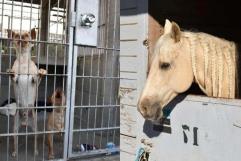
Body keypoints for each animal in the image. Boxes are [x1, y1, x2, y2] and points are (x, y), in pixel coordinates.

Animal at [6, 28, 47, 157]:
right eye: (16, 36)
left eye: (27, 35)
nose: (21, 37)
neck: (24, 60)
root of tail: (24, 123)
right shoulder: (15, 80)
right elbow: (14, 77)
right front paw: (11, 72)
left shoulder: (34, 81)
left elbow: (36, 77)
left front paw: (42, 71)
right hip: (14, 128)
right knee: (15, 139)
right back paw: (14, 152)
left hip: (35, 127)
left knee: (35, 139)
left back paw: (36, 152)